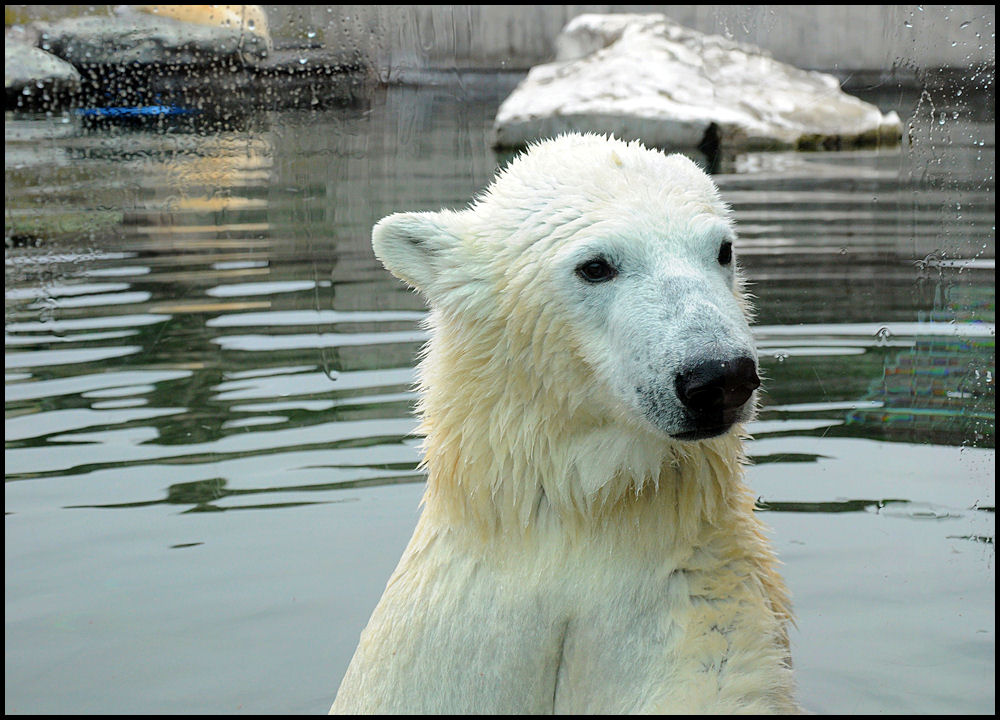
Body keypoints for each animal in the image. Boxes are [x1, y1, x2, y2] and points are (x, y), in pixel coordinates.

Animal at [332, 132, 800, 712]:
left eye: (722, 250)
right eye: (595, 266)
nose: (719, 376)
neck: (582, 516)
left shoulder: (700, 603)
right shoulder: (440, 651)